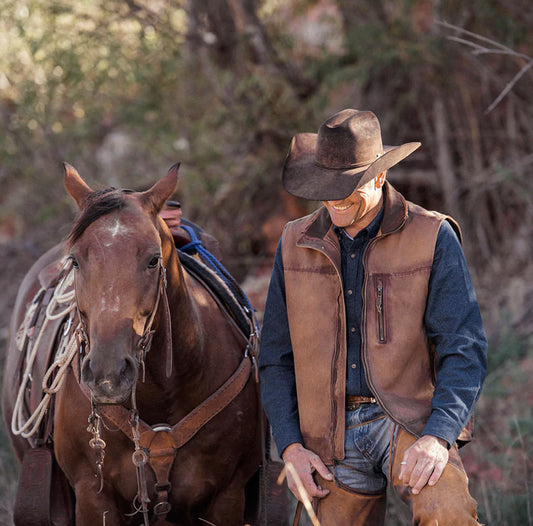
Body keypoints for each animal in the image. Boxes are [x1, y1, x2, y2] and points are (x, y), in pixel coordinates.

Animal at [2, 163, 264, 524]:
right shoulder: (93, 498)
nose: (107, 376)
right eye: (75, 261)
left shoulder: (228, 496)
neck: (165, 393)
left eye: (153, 260)